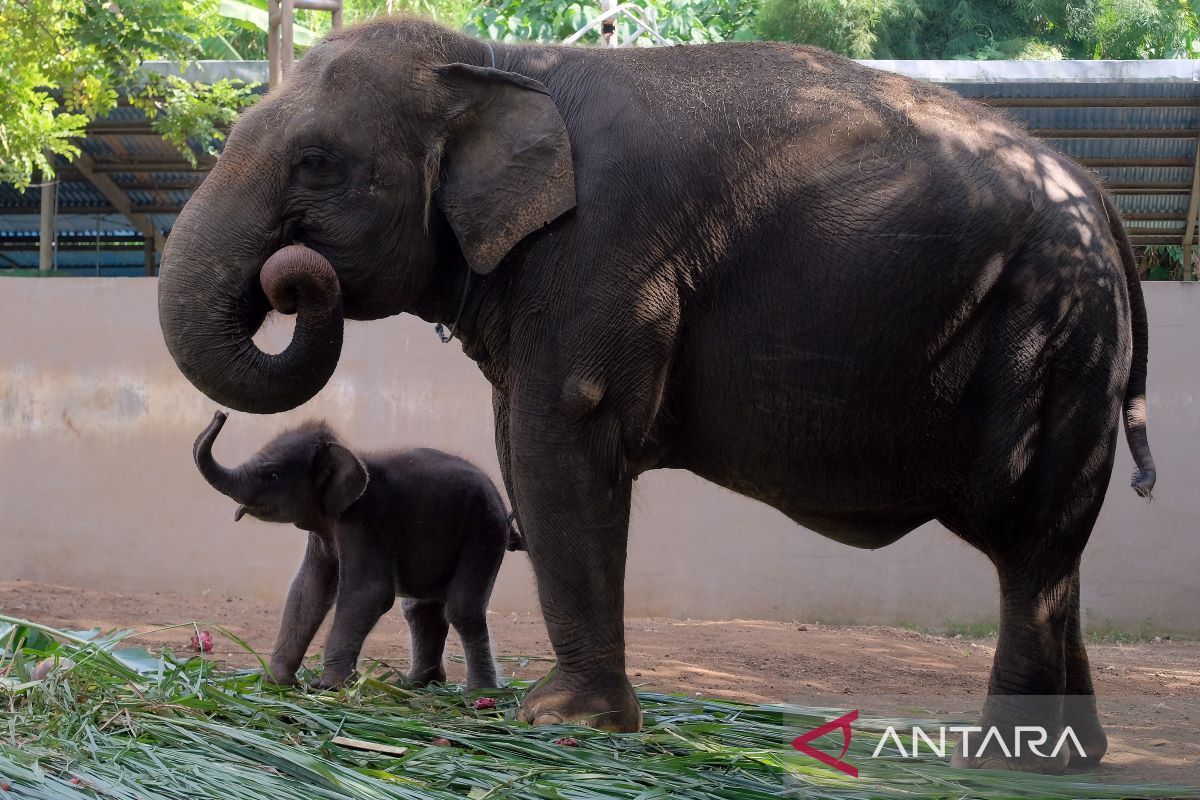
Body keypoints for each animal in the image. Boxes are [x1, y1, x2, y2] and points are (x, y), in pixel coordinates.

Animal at [192, 412, 520, 690]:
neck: (347, 451)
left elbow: (368, 593)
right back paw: (414, 684)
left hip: (484, 532)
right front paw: (277, 682)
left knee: (462, 609)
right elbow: (307, 592)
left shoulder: (365, 522)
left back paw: (479, 693)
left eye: (272, 475)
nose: (221, 413)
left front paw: (327, 686)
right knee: (419, 609)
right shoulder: (324, 532)